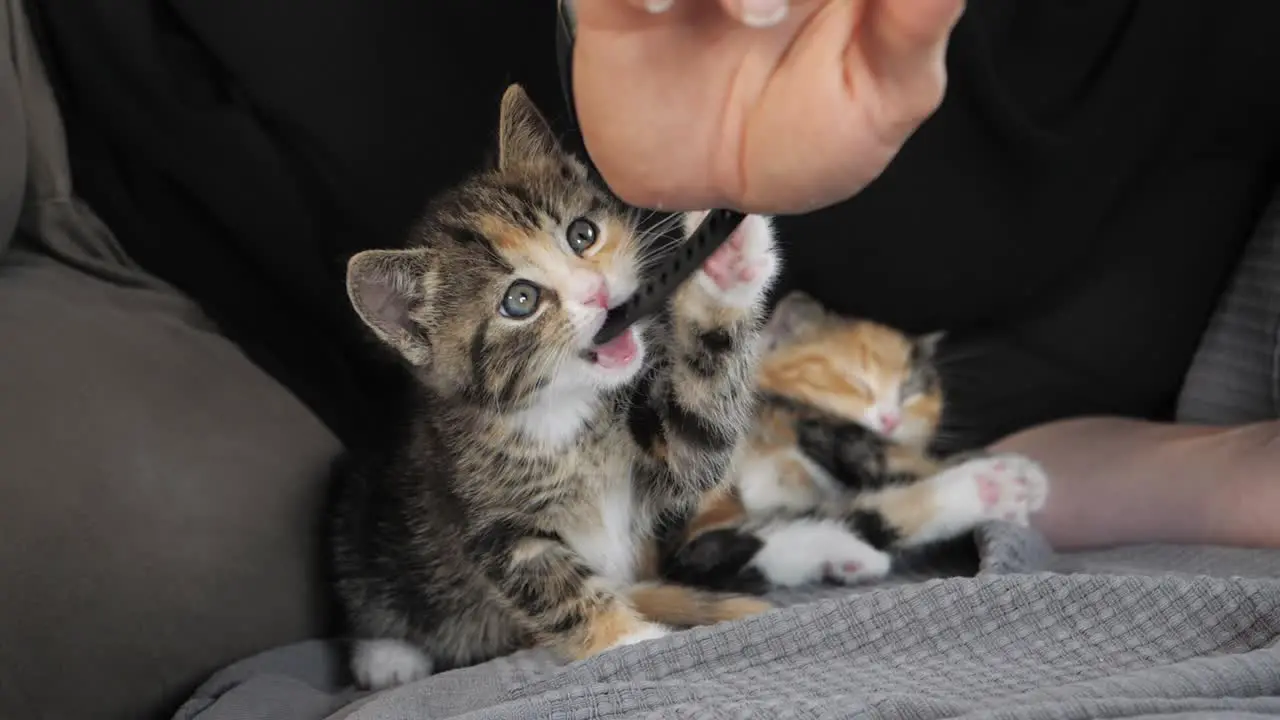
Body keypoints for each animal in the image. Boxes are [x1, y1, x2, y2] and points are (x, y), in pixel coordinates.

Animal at [325, 85, 773, 691]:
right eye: (520, 300)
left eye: (582, 234)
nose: (596, 291)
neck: (563, 420)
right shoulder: (491, 528)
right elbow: (557, 589)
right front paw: (630, 641)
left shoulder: (657, 459)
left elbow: (697, 437)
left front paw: (726, 263)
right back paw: (387, 656)